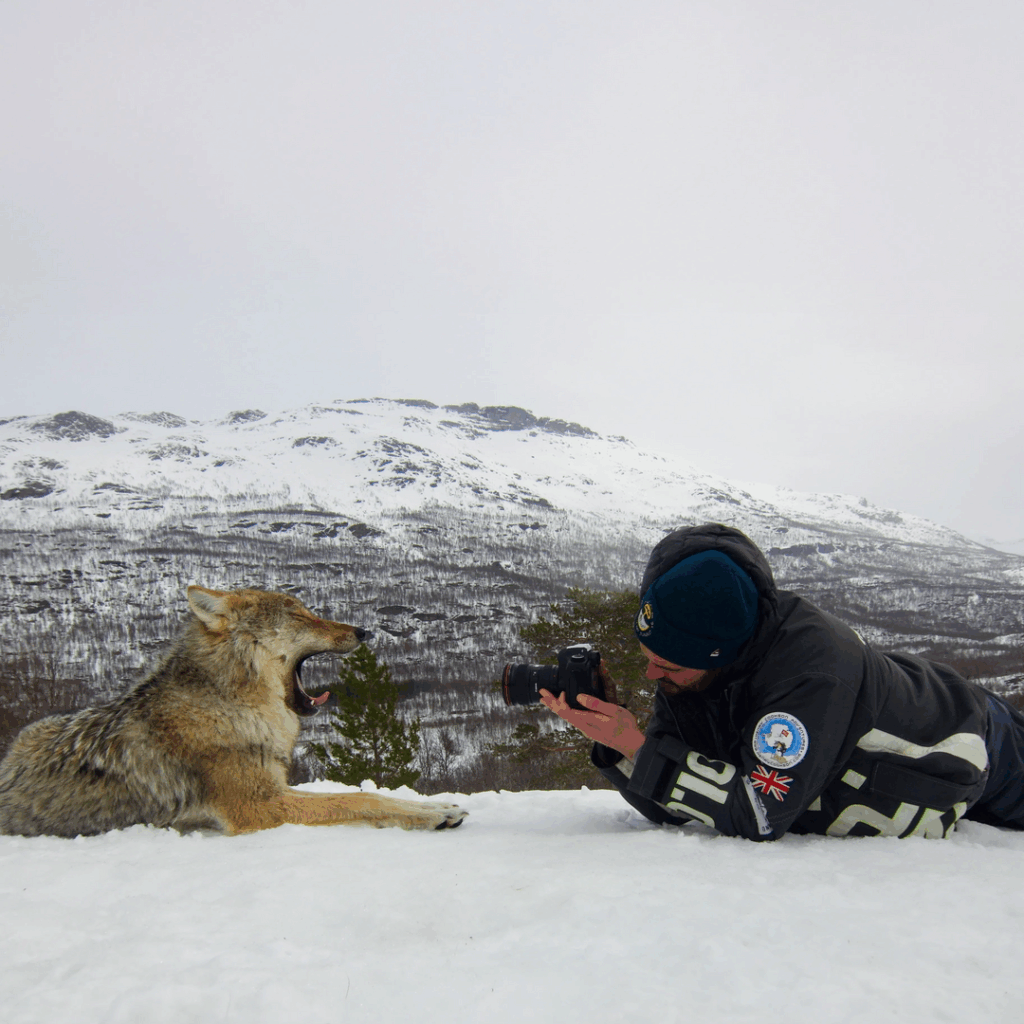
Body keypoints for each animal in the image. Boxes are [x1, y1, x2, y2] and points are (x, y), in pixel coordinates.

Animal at [0, 585, 467, 837]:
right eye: (298, 615)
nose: (363, 631)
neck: (229, 704)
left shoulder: (274, 787)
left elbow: (360, 794)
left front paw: (437, 805)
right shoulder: (259, 807)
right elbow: (358, 798)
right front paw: (435, 814)